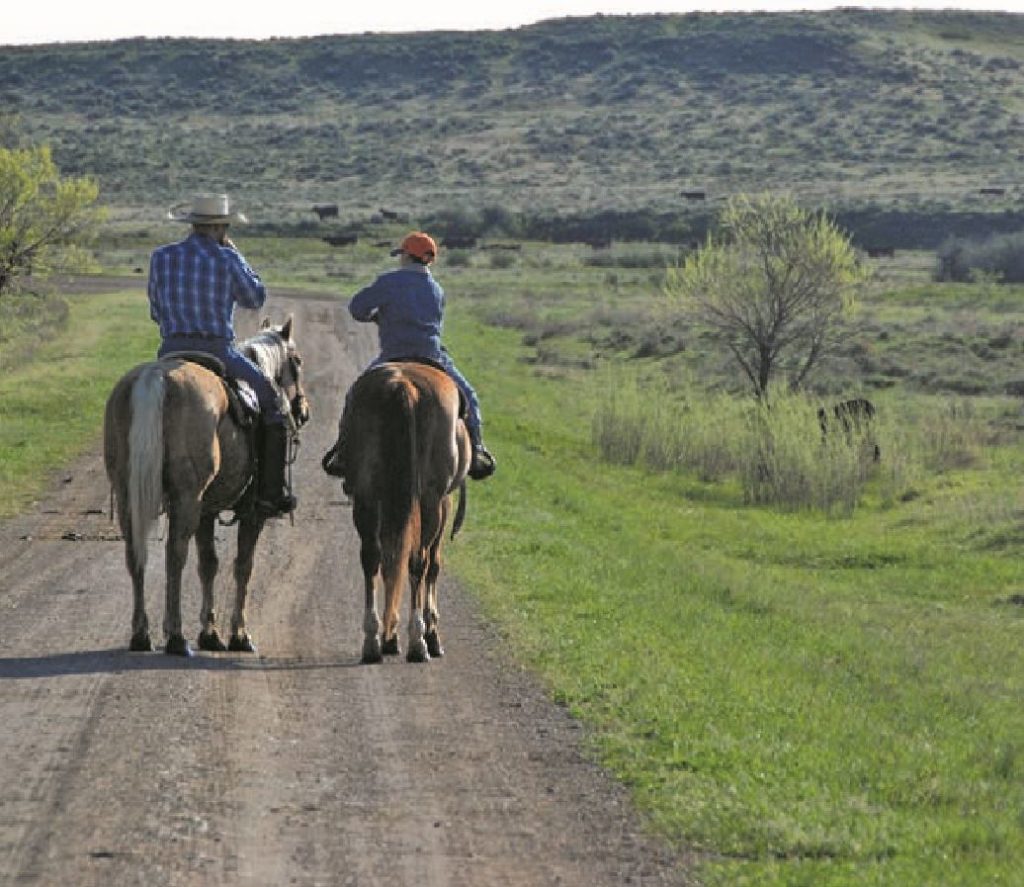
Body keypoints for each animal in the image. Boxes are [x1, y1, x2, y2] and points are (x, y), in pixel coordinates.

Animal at [102, 315, 307, 651]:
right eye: (297, 362)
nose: (303, 410)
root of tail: (156, 376)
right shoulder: (252, 514)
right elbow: (243, 566)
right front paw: (239, 634)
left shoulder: (206, 511)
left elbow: (208, 564)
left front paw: (210, 633)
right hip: (187, 498)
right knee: (175, 554)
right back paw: (175, 636)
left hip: (126, 493)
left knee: (135, 553)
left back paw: (141, 634)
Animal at [339, 360, 475, 663]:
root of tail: (403, 387)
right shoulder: (444, 503)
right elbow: (433, 565)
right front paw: (432, 635)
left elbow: (391, 562)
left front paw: (390, 636)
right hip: (430, 502)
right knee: (419, 561)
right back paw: (418, 641)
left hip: (366, 496)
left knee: (373, 558)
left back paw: (373, 641)